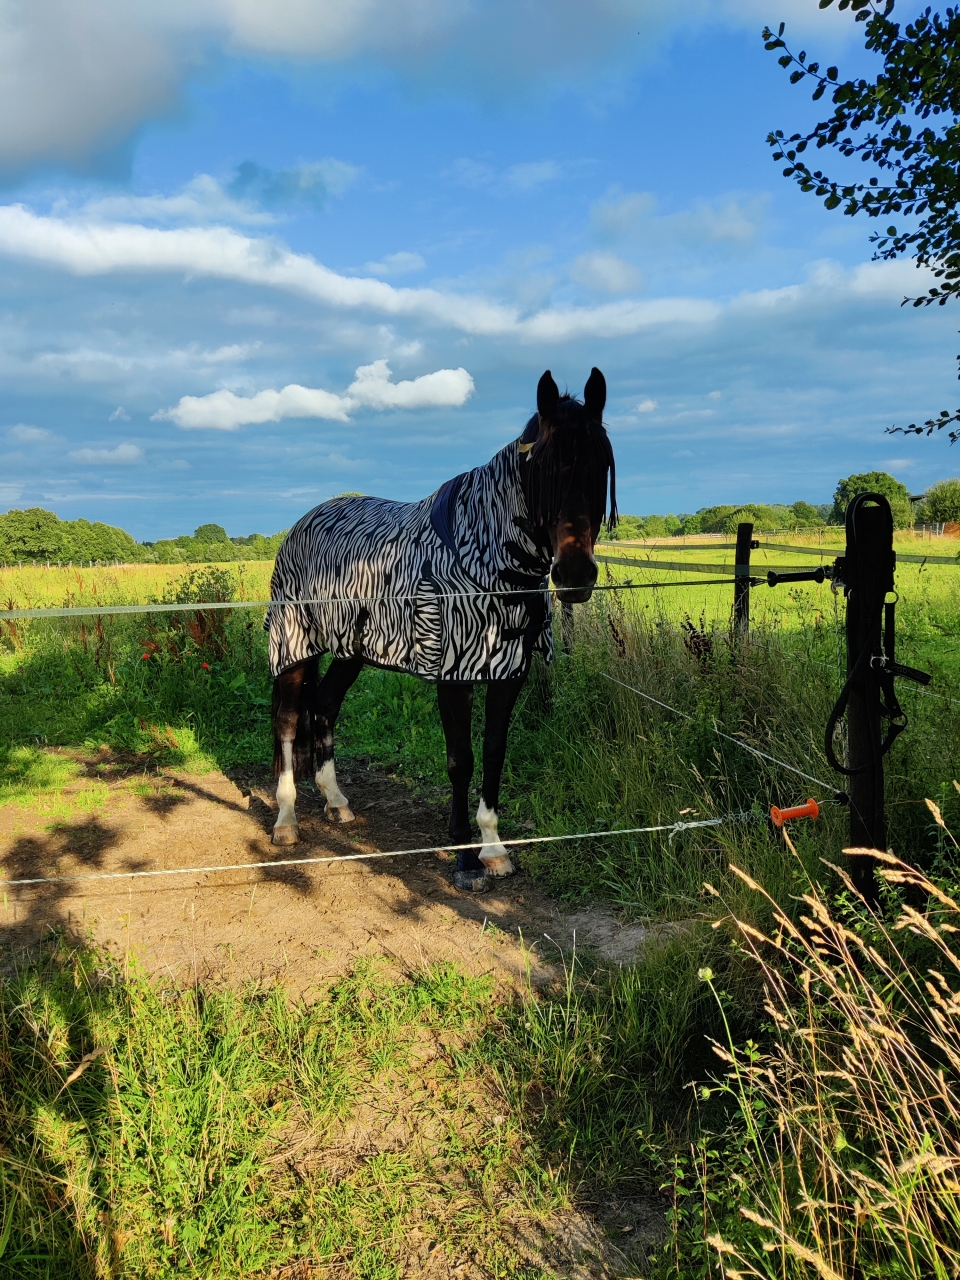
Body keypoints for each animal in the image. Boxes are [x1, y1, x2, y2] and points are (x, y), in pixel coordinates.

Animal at [265, 367, 616, 891]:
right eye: (540, 470)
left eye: (600, 465)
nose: (574, 574)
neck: (488, 565)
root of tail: (303, 523)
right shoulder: (454, 674)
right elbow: (461, 760)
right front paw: (465, 859)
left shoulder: (509, 672)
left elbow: (493, 753)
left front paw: (493, 848)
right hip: (296, 644)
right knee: (289, 721)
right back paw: (286, 820)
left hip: (351, 649)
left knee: (324, 705)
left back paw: (336, 802)